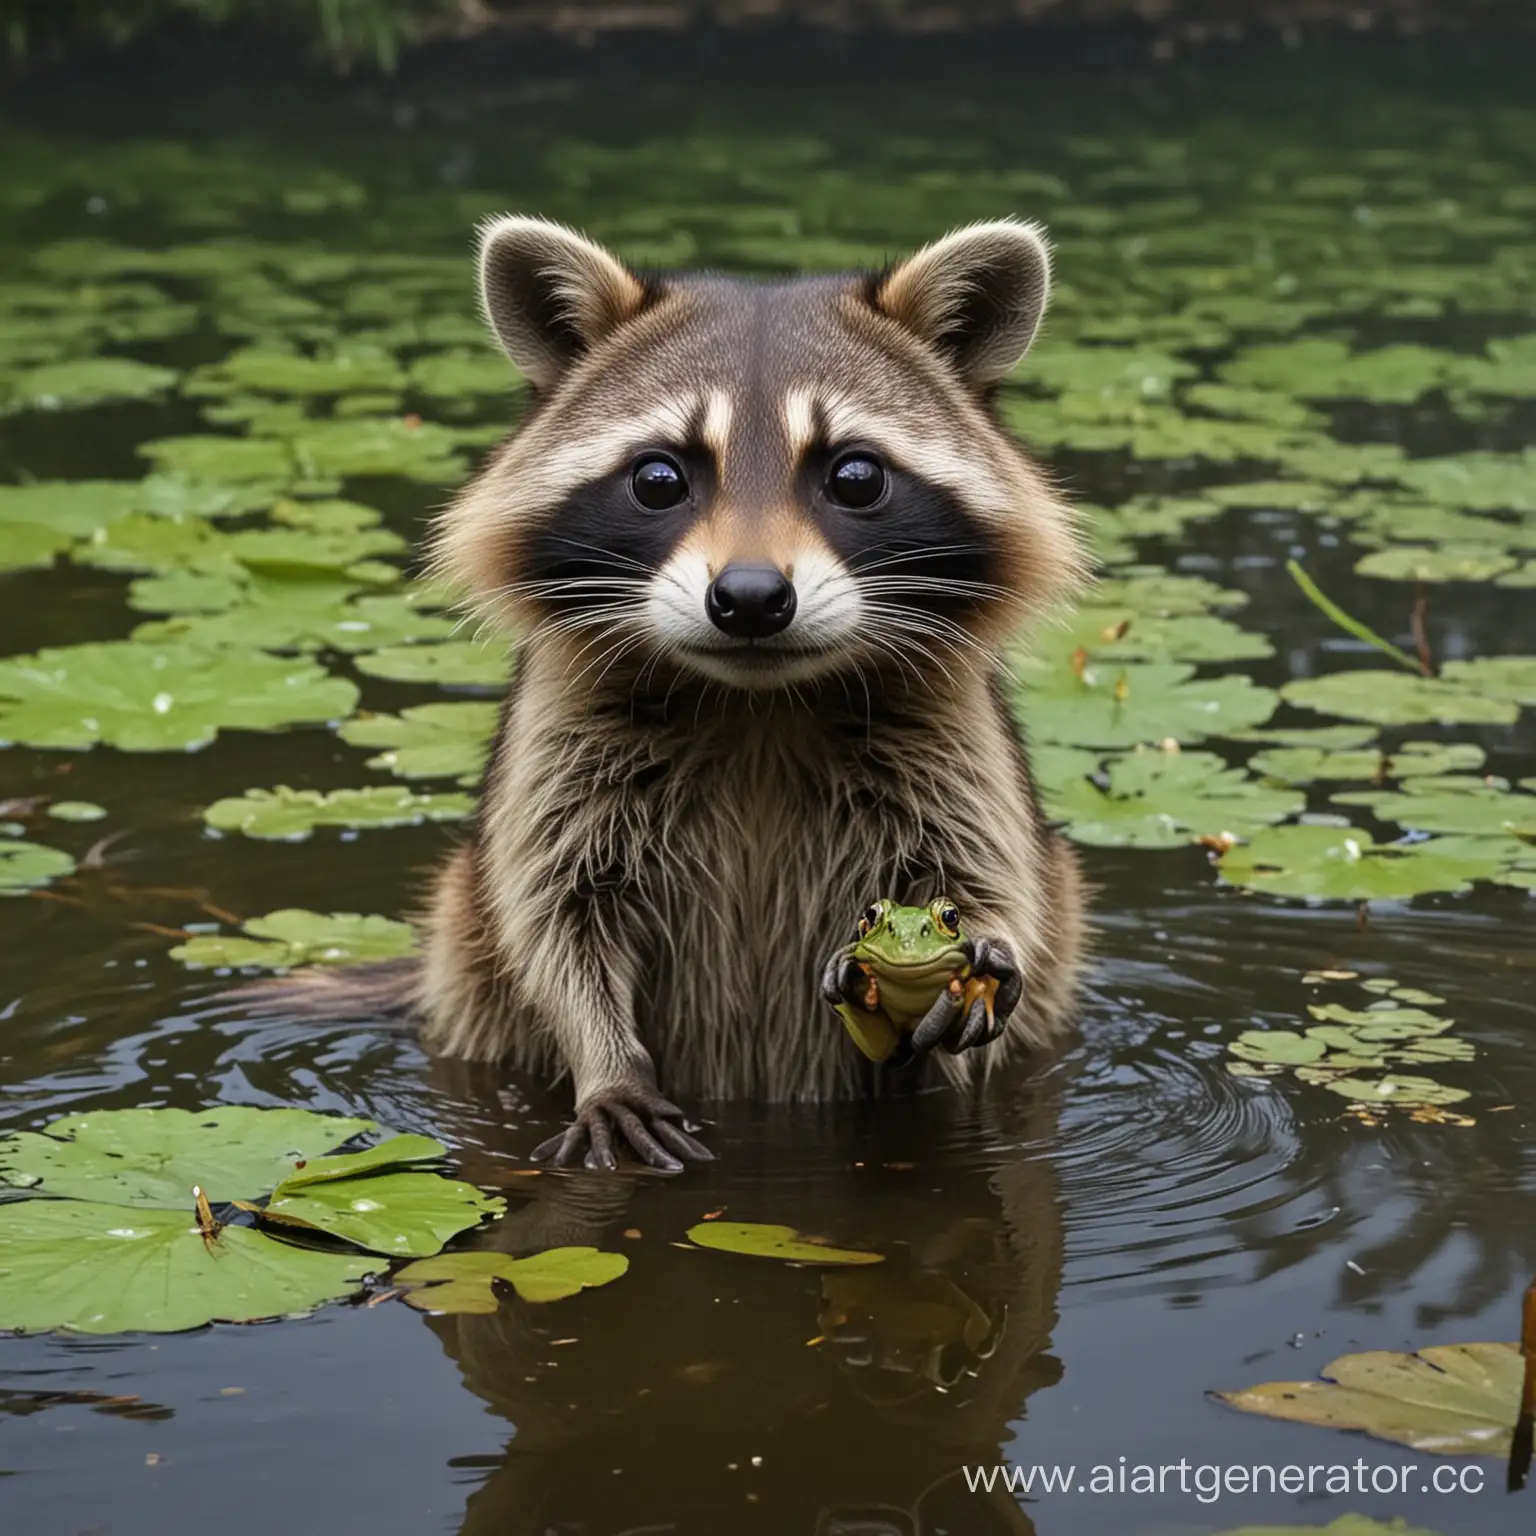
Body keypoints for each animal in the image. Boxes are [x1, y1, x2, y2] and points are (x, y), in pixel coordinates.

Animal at [317, 216, 1087, 1167]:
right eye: (659, 478)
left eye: (856, 476)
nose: (751, 597)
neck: (759, 703)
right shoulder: (560, 742)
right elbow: (552, 914)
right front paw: (603, 1054)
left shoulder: (953, 739)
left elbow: (989, 864)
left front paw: (979, 941)